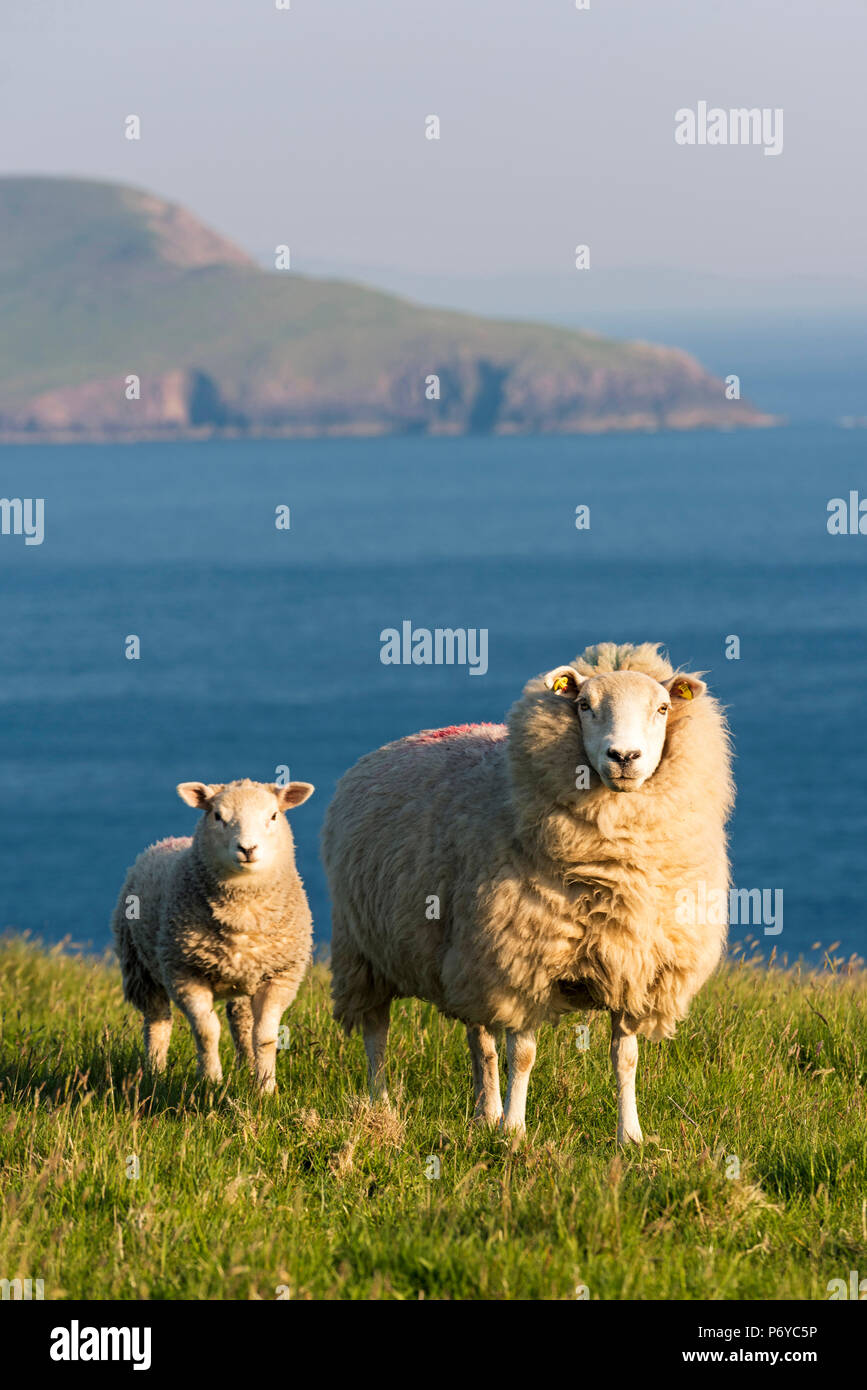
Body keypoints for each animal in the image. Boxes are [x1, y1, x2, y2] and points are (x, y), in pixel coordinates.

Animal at [111, 778, 315, 1089]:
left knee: (241, 1020)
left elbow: (265, 1036)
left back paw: (247, 1067)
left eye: (273, 816)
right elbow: (206, 1031)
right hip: (139, 967)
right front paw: (210, 1081)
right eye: (218, 816)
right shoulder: (184, 972)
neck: (243, 912)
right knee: (157, 1021)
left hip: (245, 978)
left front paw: (265, 1087)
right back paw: (155, 1070)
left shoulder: (280, 975)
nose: (247, 848)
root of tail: (169, 840)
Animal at [323, 639, 733, 1139]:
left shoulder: (632, 966)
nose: (624, 757)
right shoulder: (521, 960)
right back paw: (382, 1105)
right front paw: (515, 1132)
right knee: (376, 1032)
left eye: (662, 708)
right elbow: (522, 1055)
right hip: (365, 951)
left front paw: (630, 1135)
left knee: (479, 1041)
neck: (609, 874)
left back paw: (485, 1112)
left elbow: (626, 1059)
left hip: (464, 956)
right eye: (583, 705)